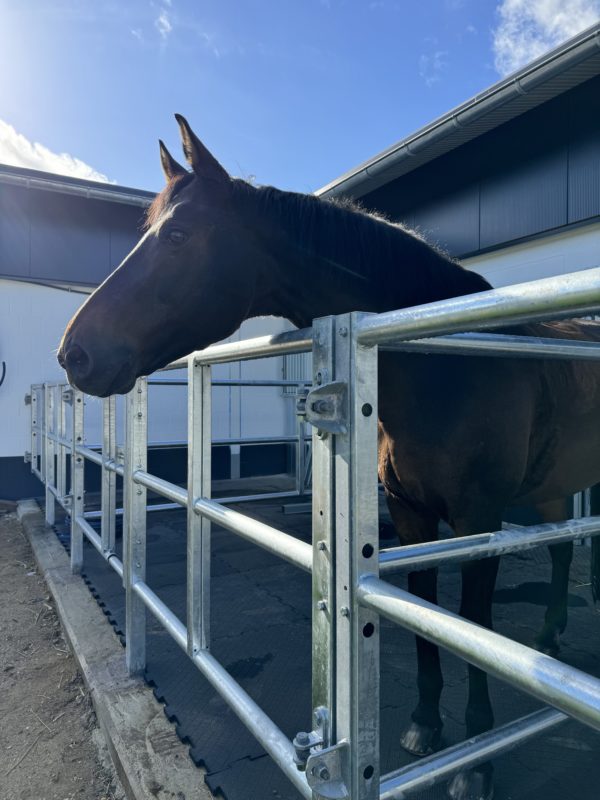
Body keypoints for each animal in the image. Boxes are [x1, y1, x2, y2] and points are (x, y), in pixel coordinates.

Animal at [57, 115, 600, 800]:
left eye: (177, 235)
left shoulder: (478, 523)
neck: (452, 362)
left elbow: (472, 625)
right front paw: (426, 725)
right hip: (553, 489)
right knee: (560, 551)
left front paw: (476, 761)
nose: (72, 353)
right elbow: (423, 613)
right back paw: (551, 633)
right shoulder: (411, 516)